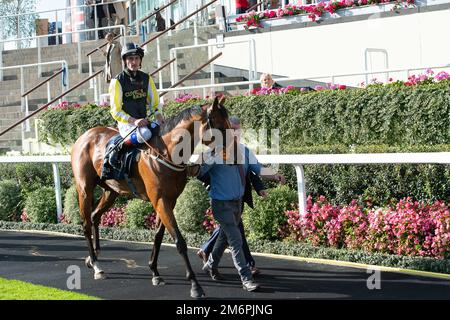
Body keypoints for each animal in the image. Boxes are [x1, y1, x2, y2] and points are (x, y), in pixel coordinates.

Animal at [72, 97, 232, 298]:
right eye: (219, 125)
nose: (233, 149)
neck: (166, 152)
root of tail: (85, 135)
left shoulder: (169, 201)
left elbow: (158, 236)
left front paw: (155, 273)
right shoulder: (161, 201)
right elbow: (179, 241)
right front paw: (195, 285)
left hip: (111, 191)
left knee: (94, 217)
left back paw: (93, 257)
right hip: (84, 189)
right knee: (85, 223)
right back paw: (96, 266)